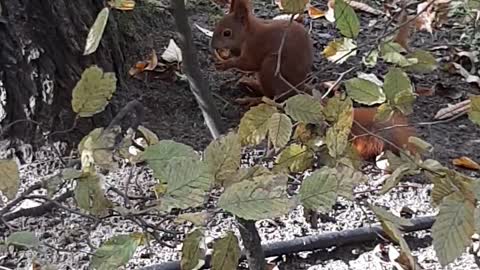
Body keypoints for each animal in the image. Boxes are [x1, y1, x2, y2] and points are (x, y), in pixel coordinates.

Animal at [210, 0, 416, 160]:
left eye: (227, 33)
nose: (213, 46)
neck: (249, 33)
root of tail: (299, 89)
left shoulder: (255, 47)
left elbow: (248, 63)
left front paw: (225, 63)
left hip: (270, 68)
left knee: (273, 99)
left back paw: (252, 98)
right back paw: (250, 85)